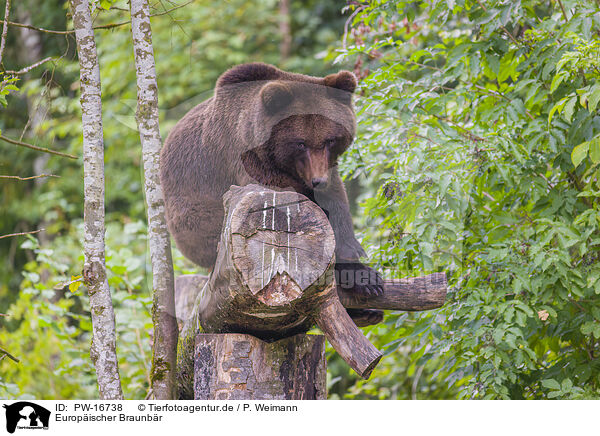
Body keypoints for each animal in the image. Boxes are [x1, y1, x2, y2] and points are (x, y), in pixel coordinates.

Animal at [161, 63, 384, 304]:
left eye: (330, 139)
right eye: (300, 143)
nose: (318, 180)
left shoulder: (327, 169)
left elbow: (336, 204)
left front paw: (363, 273)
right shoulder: (250, 164)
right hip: (195, 216)